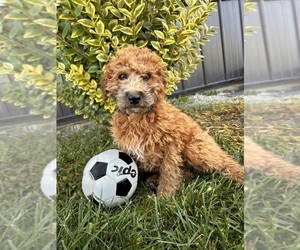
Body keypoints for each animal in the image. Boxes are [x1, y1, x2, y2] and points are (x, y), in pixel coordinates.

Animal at [101, 46, 244, 196]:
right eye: (122, 76)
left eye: (146, 76)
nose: (134, 97)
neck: (138, 118)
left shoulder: (171, 143)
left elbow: (169, 169)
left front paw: (165, 195)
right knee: (189, 171)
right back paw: (153, 180)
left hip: (196, 149)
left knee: (223, 161)